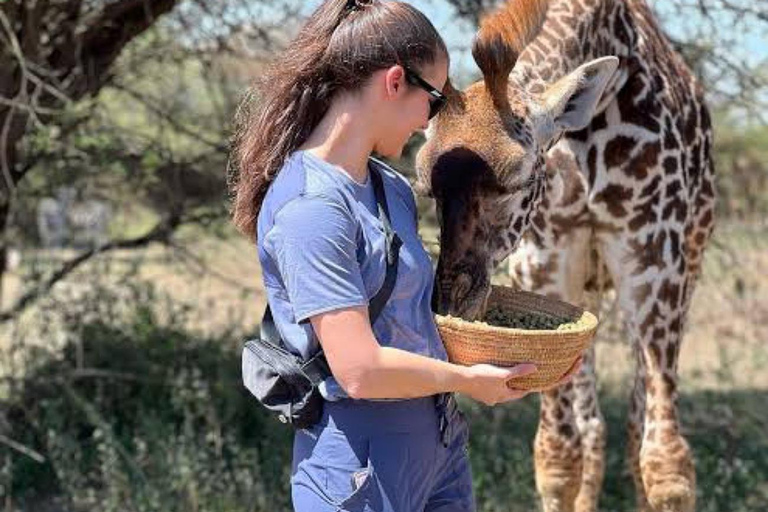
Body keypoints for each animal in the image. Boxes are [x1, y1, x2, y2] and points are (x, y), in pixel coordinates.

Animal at [416, 1, 716, 512]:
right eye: (425, 182)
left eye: (515, 178)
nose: (452, 303)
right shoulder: (546, 259)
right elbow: (557, 456)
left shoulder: (655, 258)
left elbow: (668, 466)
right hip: (589, 284)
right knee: (593, 427)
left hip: (683, 268)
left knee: (637, 420)